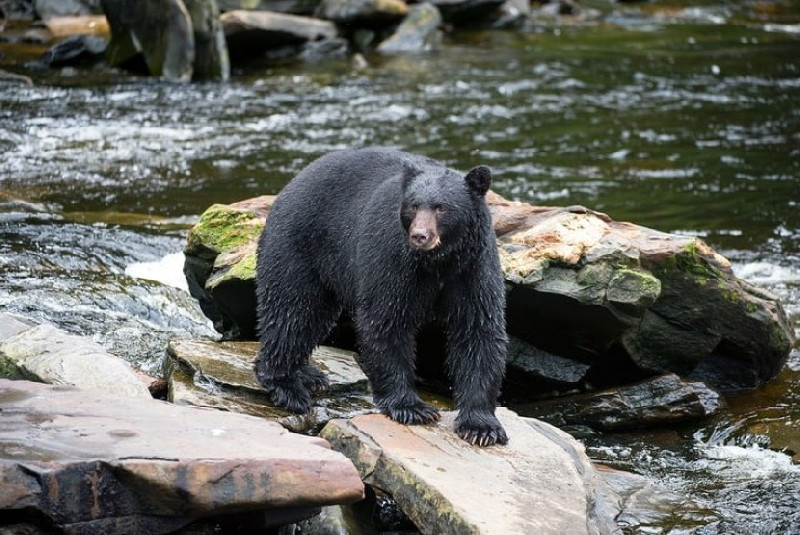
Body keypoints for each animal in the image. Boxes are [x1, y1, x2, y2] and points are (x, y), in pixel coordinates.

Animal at [253, 147, 510, 448]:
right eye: (413, 205)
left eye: (441, 207)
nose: (420, 236)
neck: (438, 263)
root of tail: (288, 186)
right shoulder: (393, 260)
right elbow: (386, 321)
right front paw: (411, 407)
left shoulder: (473, 268)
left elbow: (478, 331)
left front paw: (481, 426)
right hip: (300, 245)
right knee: (293, 311)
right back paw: (287, 386)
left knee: (313, 318)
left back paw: (309, 374)